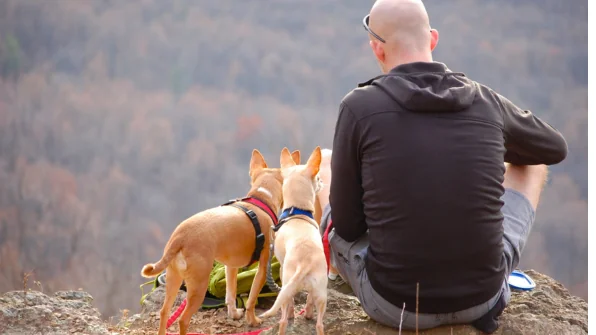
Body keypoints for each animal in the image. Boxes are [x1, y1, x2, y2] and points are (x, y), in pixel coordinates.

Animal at [142, 150, 286, 335]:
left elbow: (231, 293)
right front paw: (253, 321)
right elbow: (252, 299)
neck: (261, 199)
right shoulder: (262, 267)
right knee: (183, 319)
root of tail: (180, 237)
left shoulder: (231, 267)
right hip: (198, 286)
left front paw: (234, 314)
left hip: (174, 279)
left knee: (164, 311)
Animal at [258, 148, 328, 335]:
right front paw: (306, 315)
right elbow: (307, 302)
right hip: (321, 293)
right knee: (319, 323)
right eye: (318, 178)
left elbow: (290, 305)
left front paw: (293, 315)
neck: (296, 212)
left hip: (287, 283)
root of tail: (305, 263)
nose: (323, 182)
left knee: (283, 318)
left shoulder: (282, 268)